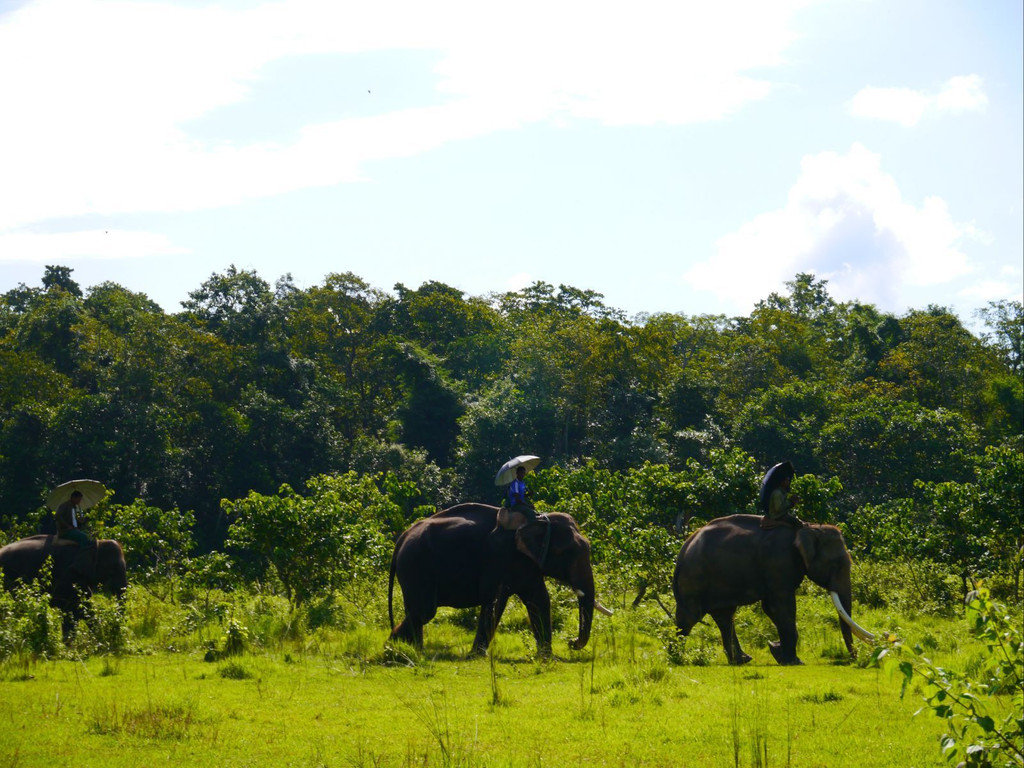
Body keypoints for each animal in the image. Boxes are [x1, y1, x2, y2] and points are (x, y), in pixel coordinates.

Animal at [385, 505, 606, 655]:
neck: (539, 520)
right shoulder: (500, 559)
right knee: (423, 611)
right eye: (566, 552)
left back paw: (403, 648)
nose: (571, 642)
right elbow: (494, 599)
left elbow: (539, 600)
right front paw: (476, 655)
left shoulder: (528, 564)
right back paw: (398, 648)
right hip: (415, 565)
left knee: (418, 612)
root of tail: (402, 539)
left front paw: (546, 657)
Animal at [671, 514, 872, 663]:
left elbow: (770, 607)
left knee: (724, 616)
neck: (807, 527)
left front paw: (777, 651)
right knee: (690, 616)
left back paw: (742, 660)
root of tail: (682, 552)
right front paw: (793, 661)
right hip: (695, 578)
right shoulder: (780, 560)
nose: (854, 659)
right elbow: (782, 604)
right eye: (836, 563)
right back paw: (678, 658)